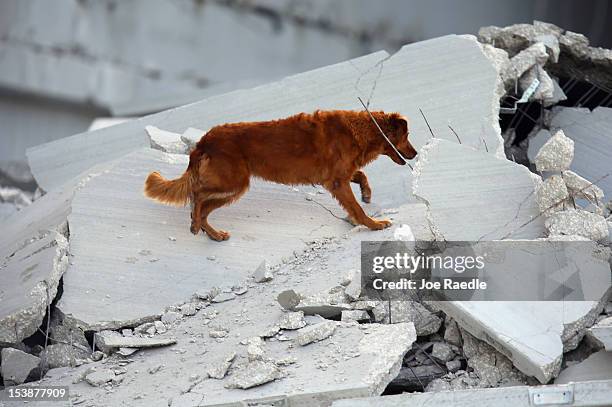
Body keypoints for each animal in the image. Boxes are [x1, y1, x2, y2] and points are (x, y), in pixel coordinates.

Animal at [146, 110, 418, 241]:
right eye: (406, 135)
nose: (415, 153)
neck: (362, 130)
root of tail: (204, 141)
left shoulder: (334, 177)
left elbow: (361, 176)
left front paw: (367, 194)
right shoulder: (337, 181)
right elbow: (357, 209)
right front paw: (374, 224)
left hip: (234, 187)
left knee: (203, 207)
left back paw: (213, 234)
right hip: (233, 181)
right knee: (198, 196)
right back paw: (194, 224)